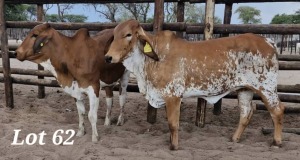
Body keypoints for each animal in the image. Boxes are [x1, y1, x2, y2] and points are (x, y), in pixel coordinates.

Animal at [105, 19, 284, 150]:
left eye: (128, 34)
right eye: (113, 35)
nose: (108, 57)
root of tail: (267, 41)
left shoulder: (173, 95)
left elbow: (173, 124)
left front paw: (174, 146)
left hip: (266, 87)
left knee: (277, 110)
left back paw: (276, 142)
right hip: (245, 89)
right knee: (246, 113)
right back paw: (235, 139)